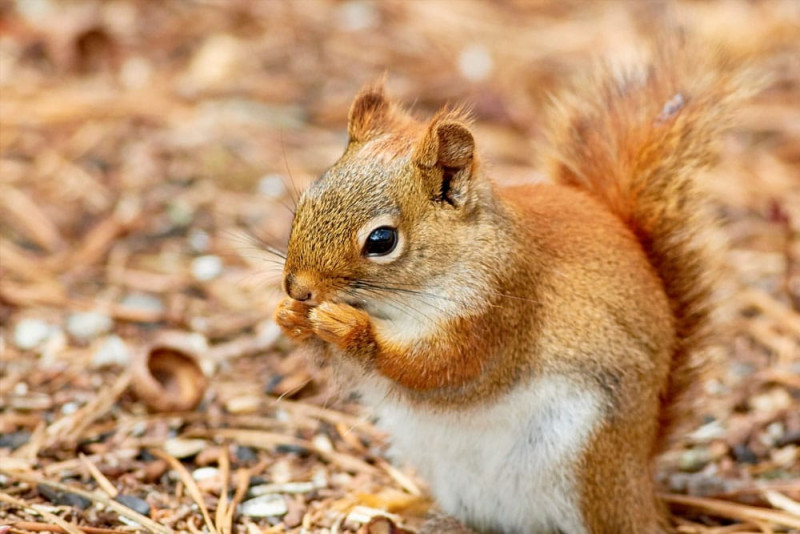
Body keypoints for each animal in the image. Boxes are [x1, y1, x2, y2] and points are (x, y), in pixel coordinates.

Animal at [274, 44, 747, 533]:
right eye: (305, 201)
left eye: (381, 240)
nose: (298, 288)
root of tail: (641, 482)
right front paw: (289, 318)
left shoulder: (500, 306)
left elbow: (441, 366)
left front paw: (351, 327)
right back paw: (389, 502)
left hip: (586, 461)